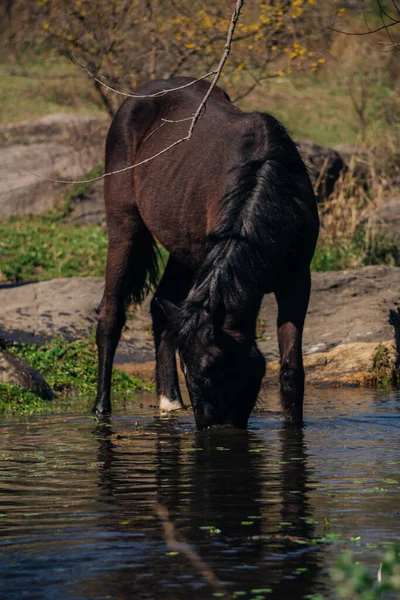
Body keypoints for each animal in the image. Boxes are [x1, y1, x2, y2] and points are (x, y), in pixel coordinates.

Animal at [93, 76, 318, 432]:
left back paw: (169, 402)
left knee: (160, 307)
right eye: (189, 370)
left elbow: (291, 372)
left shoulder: (297, 282)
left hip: (182, 250)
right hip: (124, 226)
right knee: (111, 315)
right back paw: (102, 409)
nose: (211, 429)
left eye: (214, 368)